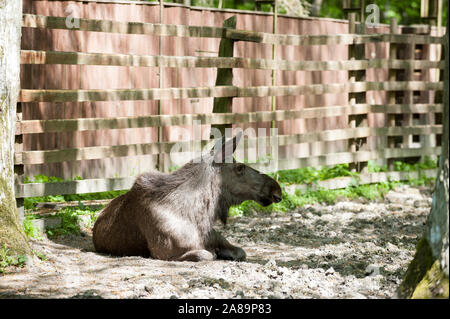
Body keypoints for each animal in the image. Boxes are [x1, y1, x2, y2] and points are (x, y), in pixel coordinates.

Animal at [92, 132, 282, 262]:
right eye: (240, 167)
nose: (276, 189)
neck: (199, 215)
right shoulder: (166, 252)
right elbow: (207, 254)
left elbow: (240, 251)